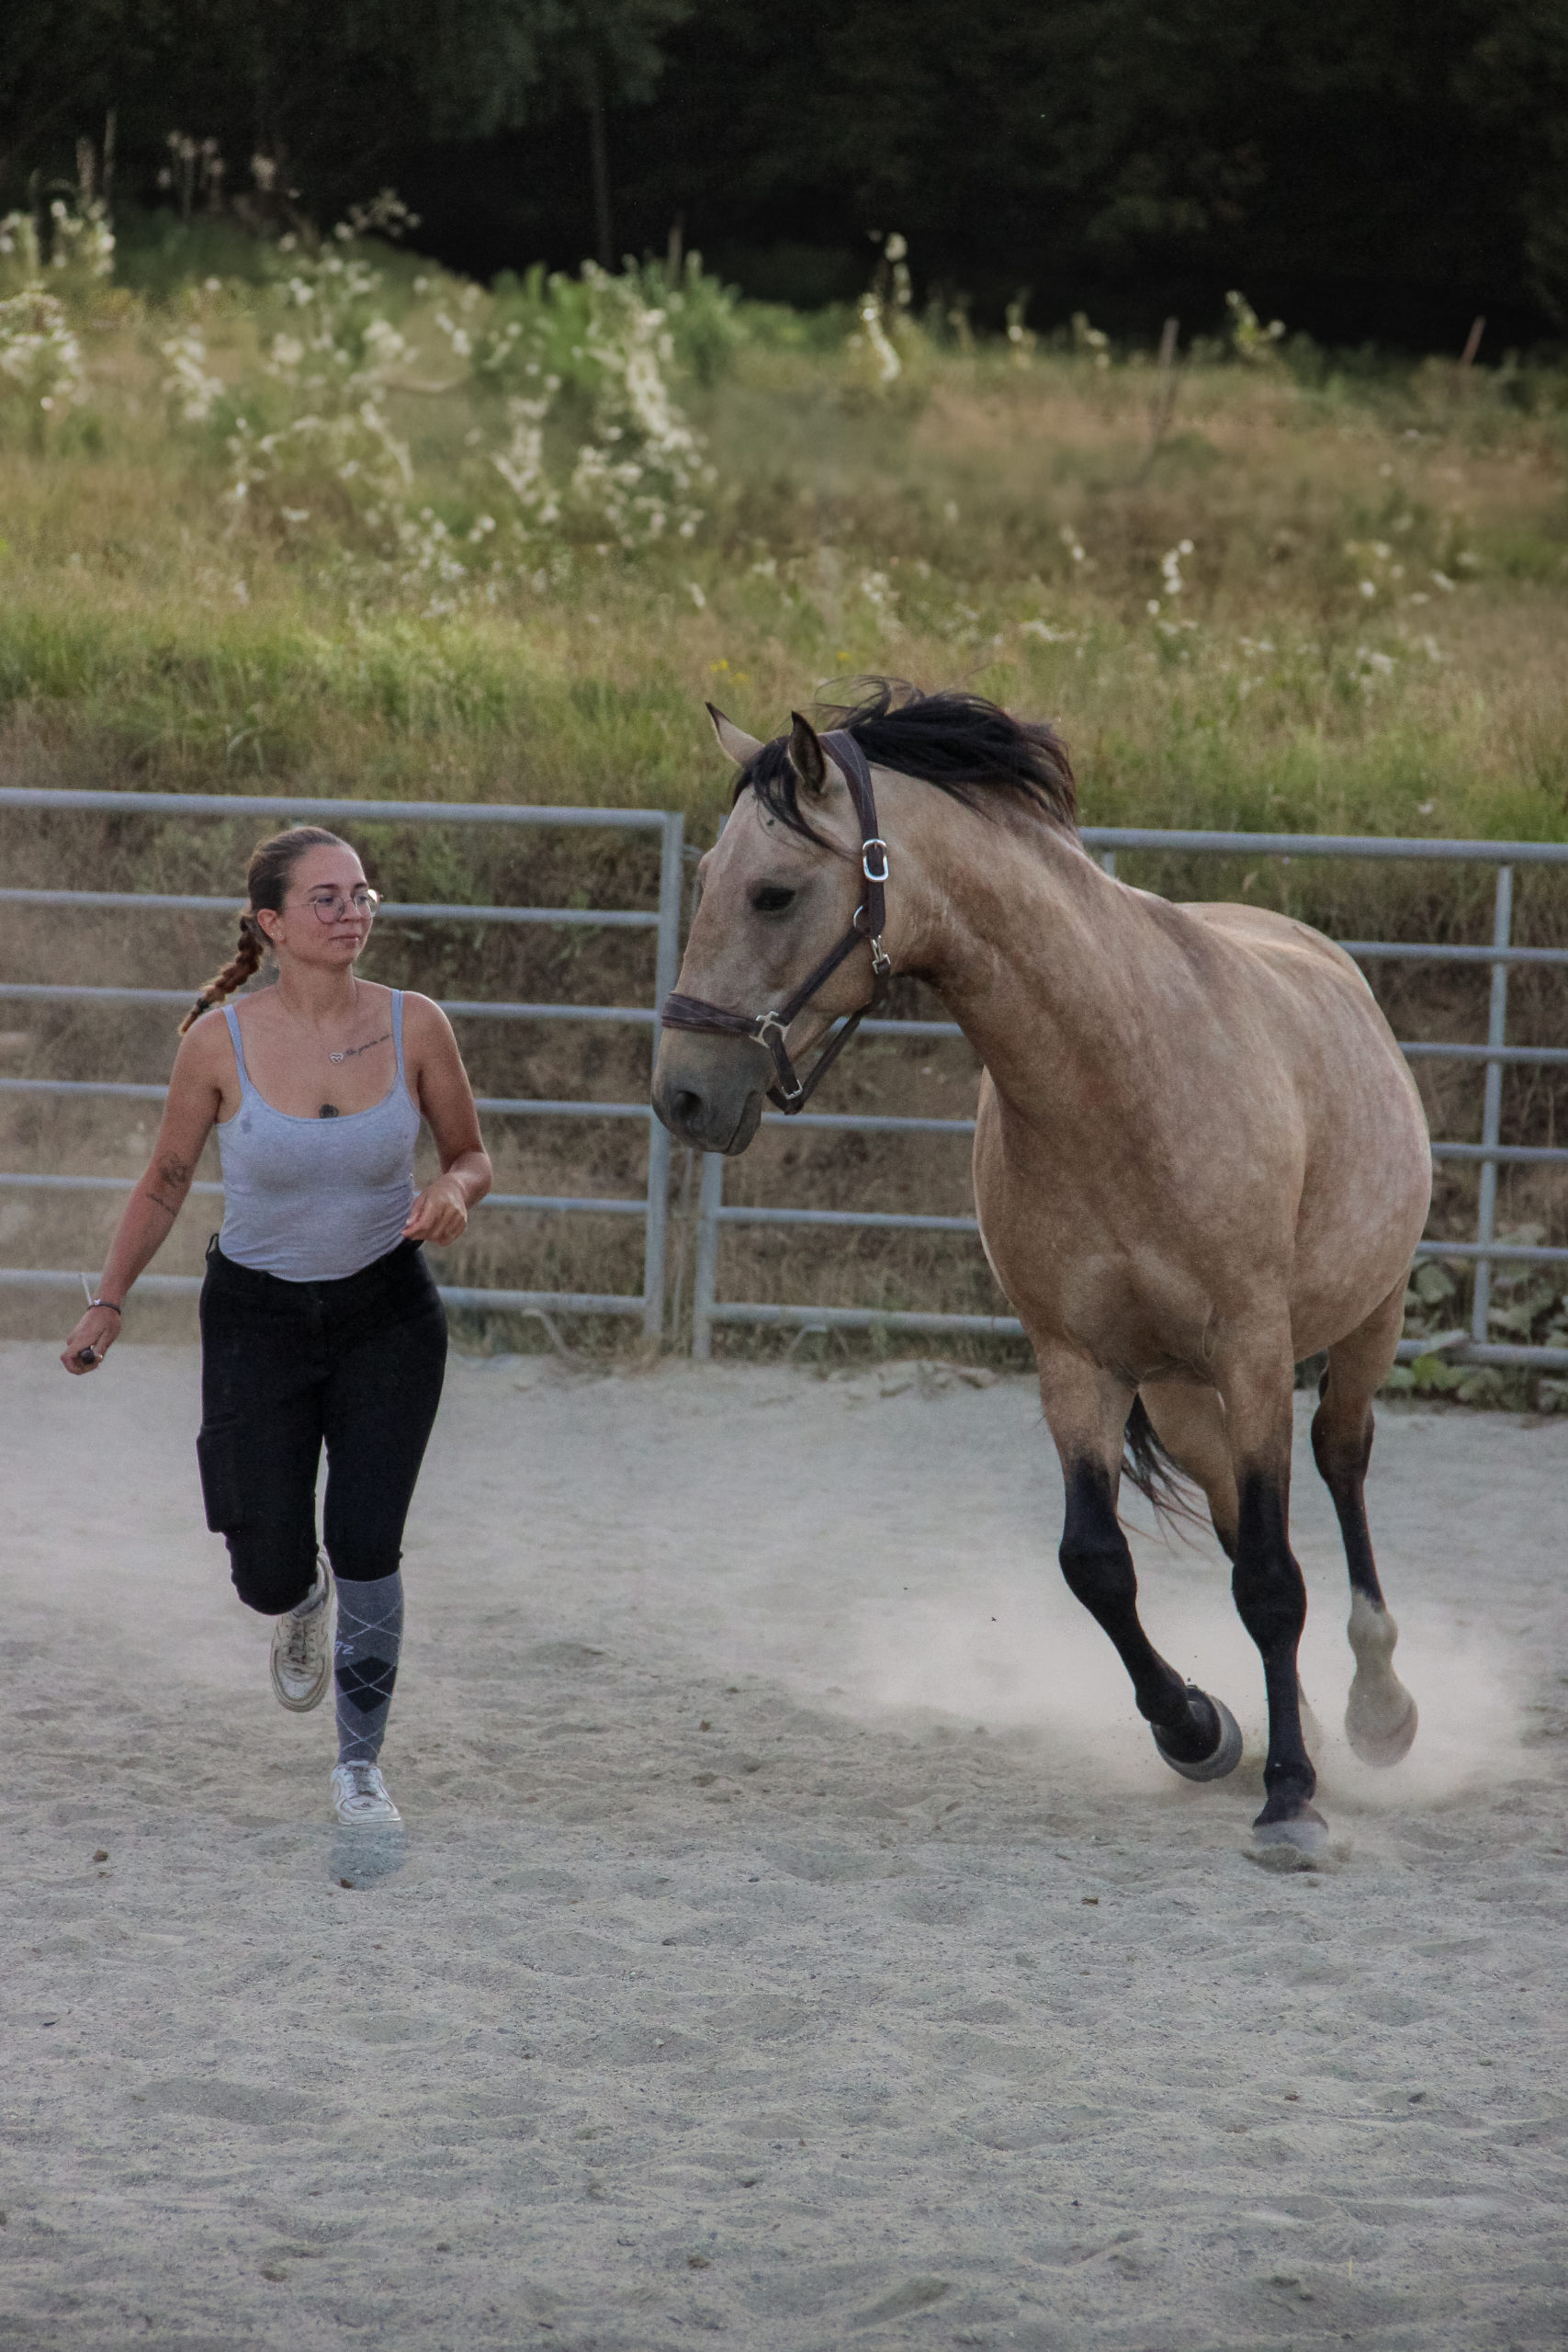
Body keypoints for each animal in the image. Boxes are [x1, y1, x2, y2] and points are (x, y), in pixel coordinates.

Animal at [651, 683, 1432, 1860]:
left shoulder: (1253, 1348)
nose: (684, 1095)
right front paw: (1197, 1728)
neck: (1117, 1079)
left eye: (773, 891)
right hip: (1181, 1392)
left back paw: (1376, 1713)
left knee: (1339, 1466)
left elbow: (1270, 1577)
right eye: (703, 880)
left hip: (1362, 1324)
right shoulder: (1077, 1361)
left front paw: (1291, 1796)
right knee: (1238, 1516)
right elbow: (1099, 1564)